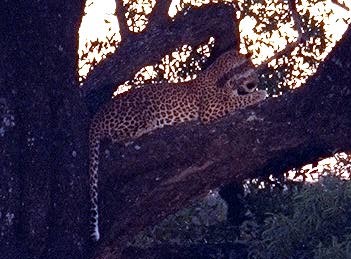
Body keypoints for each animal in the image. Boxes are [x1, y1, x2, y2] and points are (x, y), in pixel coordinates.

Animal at [88, 49, 266, 243]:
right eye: (252, 71)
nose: (256, 82)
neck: (227, 79)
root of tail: (97, 116)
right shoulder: (210, 110)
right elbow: (238, 101)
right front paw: (260, 94)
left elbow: (237, 99)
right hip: (139, 111)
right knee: (118, 137)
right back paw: (150, 127)